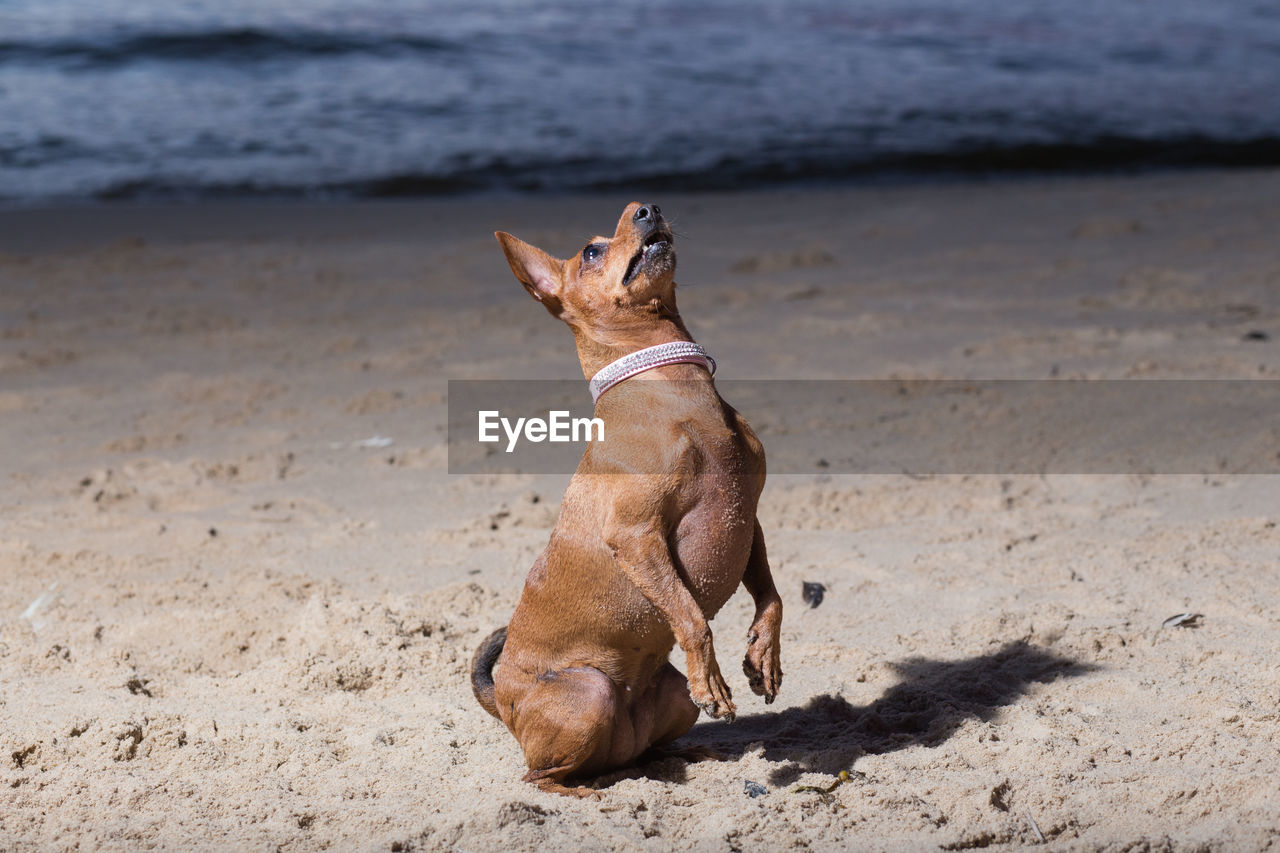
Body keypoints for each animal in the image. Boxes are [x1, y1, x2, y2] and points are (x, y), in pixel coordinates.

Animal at [471, 202, 778, 794]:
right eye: (591, 251)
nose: (648, 208)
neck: (672, 388)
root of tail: (502, 702)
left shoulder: (748, 520)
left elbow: (771, 599)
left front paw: (764, 653)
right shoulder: (637, 536)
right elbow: (692, 618)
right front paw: (715, 678)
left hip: (670, 701)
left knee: (636, 755)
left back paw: (682, 759)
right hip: (590, 696)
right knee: (540, 776)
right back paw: (587, 793)